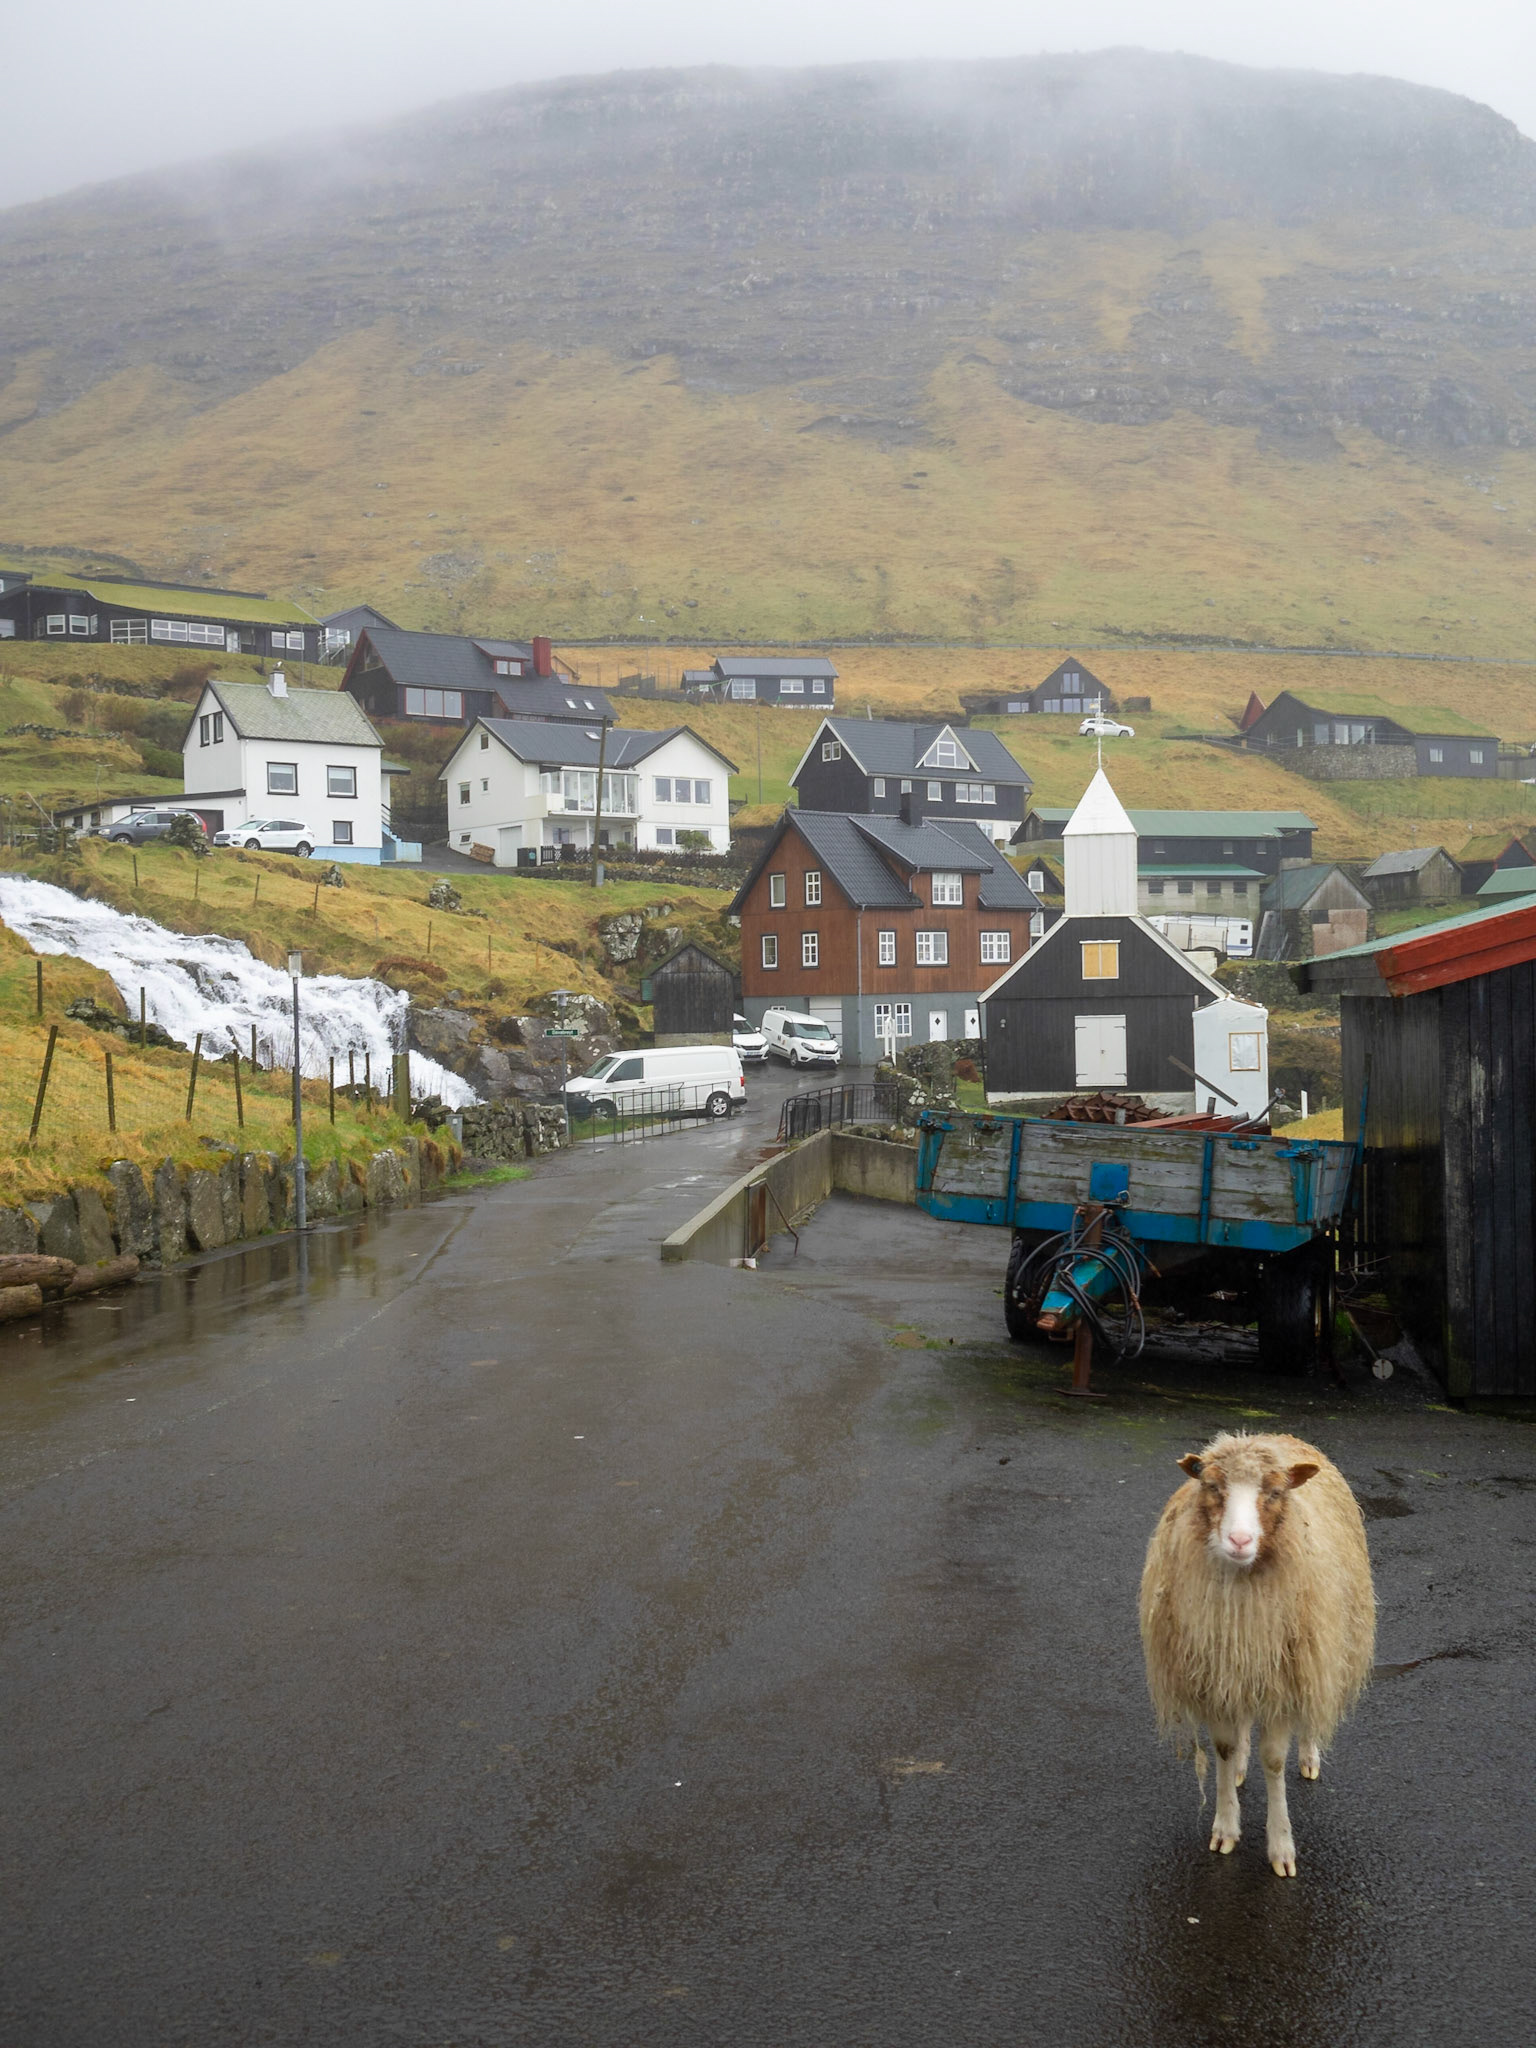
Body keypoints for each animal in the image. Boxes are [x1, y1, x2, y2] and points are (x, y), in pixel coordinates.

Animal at [1139, 1430, 1375, 1877]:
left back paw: (1310, 1755)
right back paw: (1239, 1770)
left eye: (1276, 1492)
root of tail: (1275, 1434)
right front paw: (1225, 1827)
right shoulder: (1216, 1678)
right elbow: (1225, 1748)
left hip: (1319, 1653)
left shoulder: (1284, 1680)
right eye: (1212, 1486)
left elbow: (1275, 1761)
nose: (1240, 1540)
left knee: (1311, 1714)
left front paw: (1281, 1847)